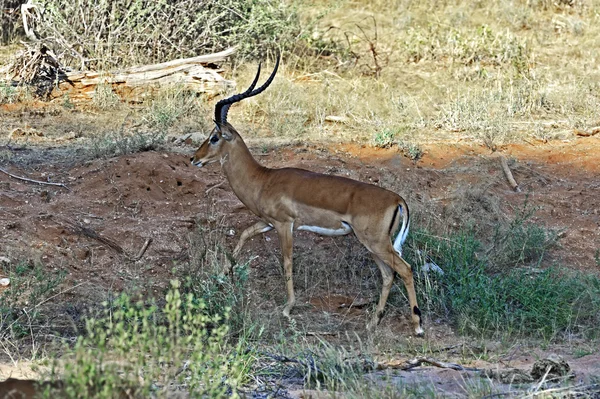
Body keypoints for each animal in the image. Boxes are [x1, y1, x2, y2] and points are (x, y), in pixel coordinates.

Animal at [190, 57, 424, 336]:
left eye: (214, 137)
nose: (194, 158)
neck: (263, 179)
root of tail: (397, 200)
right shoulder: (267, 223)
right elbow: (244, 234)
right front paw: (223, 274)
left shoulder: (285, 225)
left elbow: (287, 262)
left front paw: (288, 308)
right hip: (373, 245)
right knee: (389, 275)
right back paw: (372, 322)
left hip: (375, 243)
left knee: (405, 269)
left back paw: (418, 326)